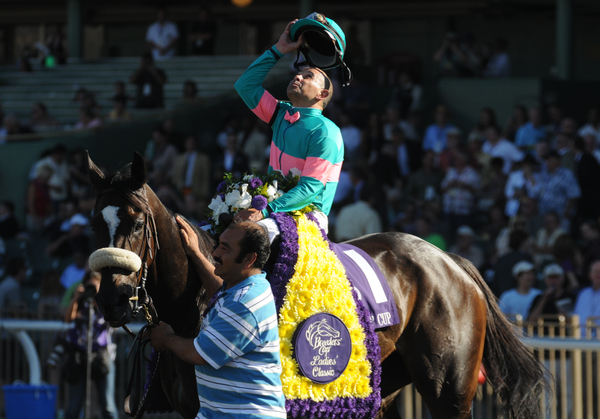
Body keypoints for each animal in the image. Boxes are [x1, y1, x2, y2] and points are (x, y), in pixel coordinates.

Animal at [85, 152, 548, 419]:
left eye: (137, 223)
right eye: (95, 223)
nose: (112, 299)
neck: (194, 307)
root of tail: (451, 262)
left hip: (449, 390)